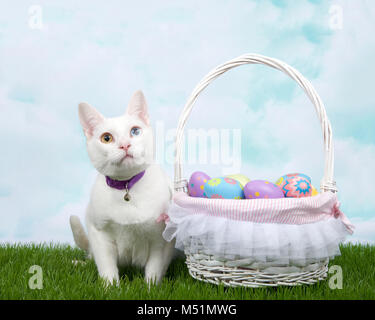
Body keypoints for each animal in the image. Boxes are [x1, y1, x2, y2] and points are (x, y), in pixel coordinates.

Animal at [70, 89, 176, 284]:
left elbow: (155, 269)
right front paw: (110, 286)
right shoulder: (99, 233)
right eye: (106, 138)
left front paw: (150, 287)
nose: (125, 144)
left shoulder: (162, 240)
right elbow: (106, 267)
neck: (126, 186)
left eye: (135, 131)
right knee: (91, 257)